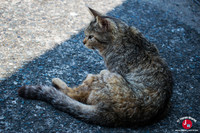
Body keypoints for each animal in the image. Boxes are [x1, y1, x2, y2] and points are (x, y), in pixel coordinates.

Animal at [18, 7, 173, 127]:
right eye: (85, 34)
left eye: (91, 36)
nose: (83, 41)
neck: (125, 36)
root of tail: (114, 116)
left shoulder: (112, 69)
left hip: (104, 76)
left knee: (73, 94)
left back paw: (58, 82)